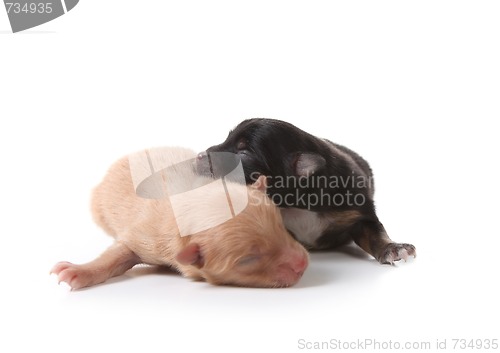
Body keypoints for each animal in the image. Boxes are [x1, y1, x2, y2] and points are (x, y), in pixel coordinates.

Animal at [198, 118, 414, 264]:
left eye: (243, 153)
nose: (200, 155)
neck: (296, 205)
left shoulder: (359, 212)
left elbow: (375, 233)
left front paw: (393, 248)